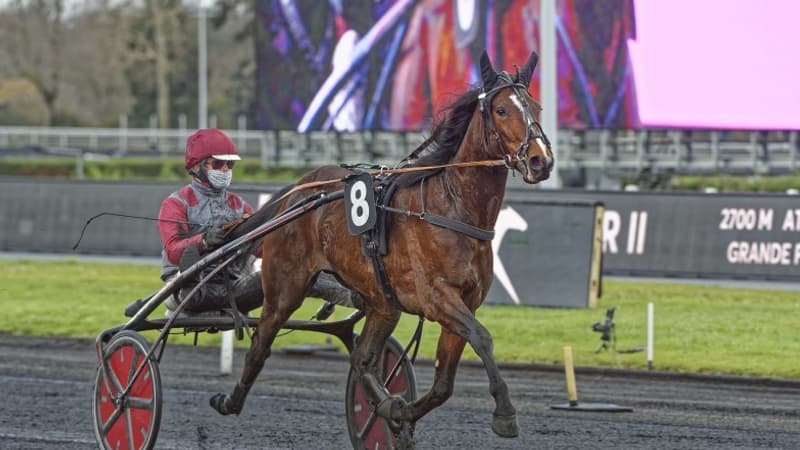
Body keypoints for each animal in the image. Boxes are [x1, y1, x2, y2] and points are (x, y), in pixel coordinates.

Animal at [209, 50, 552, 446]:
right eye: (501, 110)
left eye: (536, 107)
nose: (541, 160)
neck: (452, 207)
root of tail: (299, 189)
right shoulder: (437, 298)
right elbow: (482, 337)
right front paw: (505, 412)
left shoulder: (465, 300)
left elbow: (443, 384)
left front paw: (399, 412)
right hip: (286, 285)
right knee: (261, 343)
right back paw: (229, 400)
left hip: (382, 302)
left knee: (361, 358)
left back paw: (383, 405)